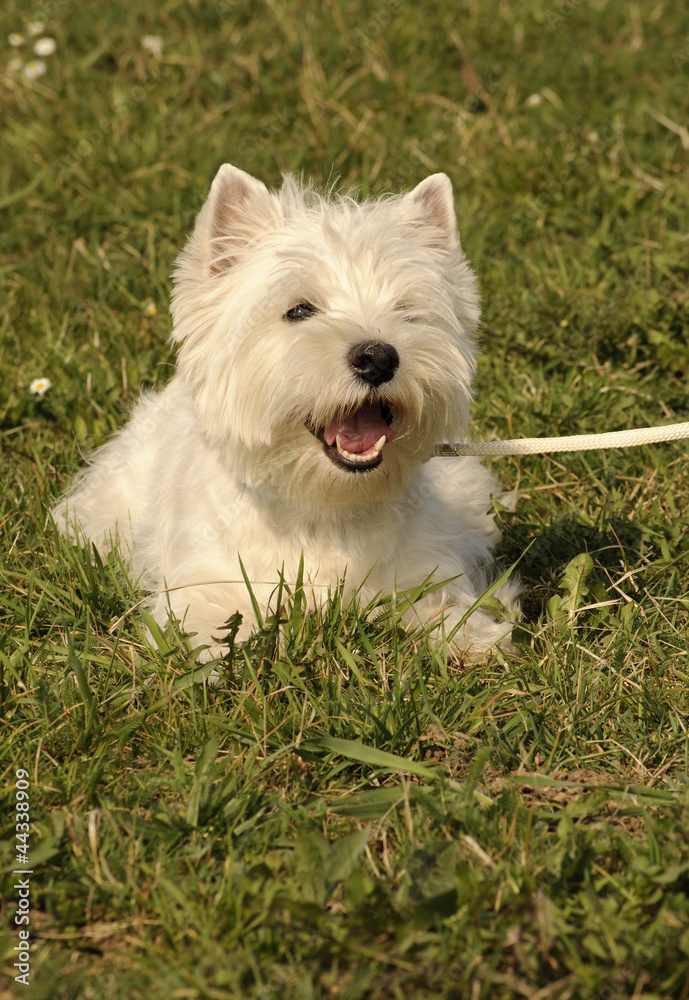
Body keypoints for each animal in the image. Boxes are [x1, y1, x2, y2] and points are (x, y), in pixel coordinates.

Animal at [52, 166, 516, 656]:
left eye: (407, 311)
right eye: (298, 311)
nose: (378, 357)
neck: (322, 508)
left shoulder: (426, 566)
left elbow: (444, 601)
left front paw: (473, 639)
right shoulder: (211, 581)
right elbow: (212, 624)